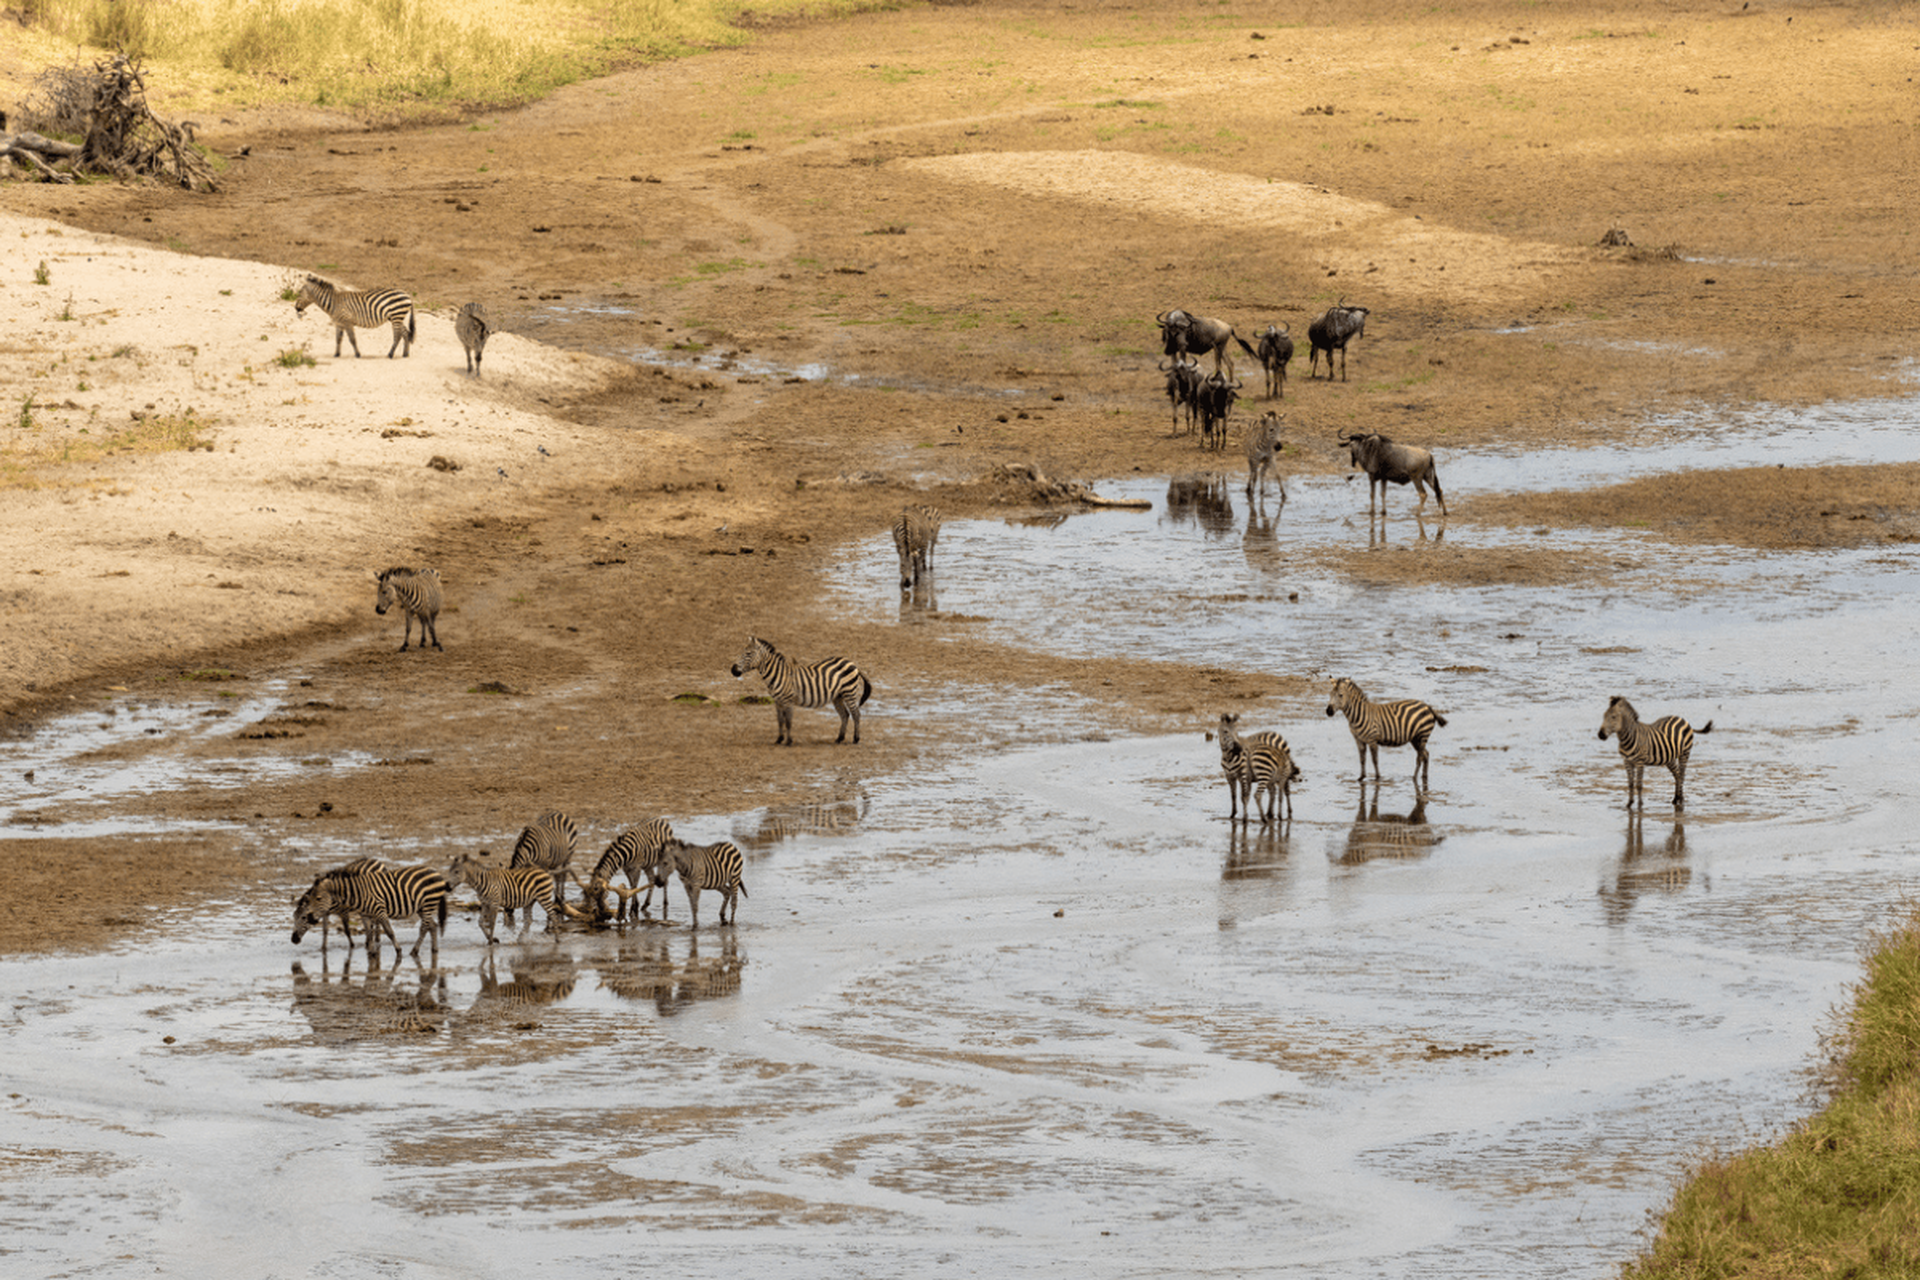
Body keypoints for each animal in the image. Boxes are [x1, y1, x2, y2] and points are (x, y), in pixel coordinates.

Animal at [292, 862, 450, 963]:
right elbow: (368, 931)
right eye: (294, 917)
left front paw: (398, 952)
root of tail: (436, 872)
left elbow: (389, 932)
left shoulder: (379, 911)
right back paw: (434, 950)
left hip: (428, 903)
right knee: (433, 925)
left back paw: (414, 951)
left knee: (424, 927)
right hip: (422, 907)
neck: (354, 894)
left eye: (303, 917)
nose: (293, 939)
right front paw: (371, 952)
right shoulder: (366, 914)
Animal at [730, 635, 873, 746]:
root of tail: (852, 663)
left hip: (849, 692)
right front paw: (779, 739)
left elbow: (788, 721)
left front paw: (788, 741)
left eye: (748, 654)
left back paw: (856, 739)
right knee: (845, 715)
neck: (778, 674)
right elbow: (780, 720)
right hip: (838, 696)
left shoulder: (787, 700)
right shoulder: (777, 701)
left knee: (856, 714)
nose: (733, 670)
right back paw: (839, 738)